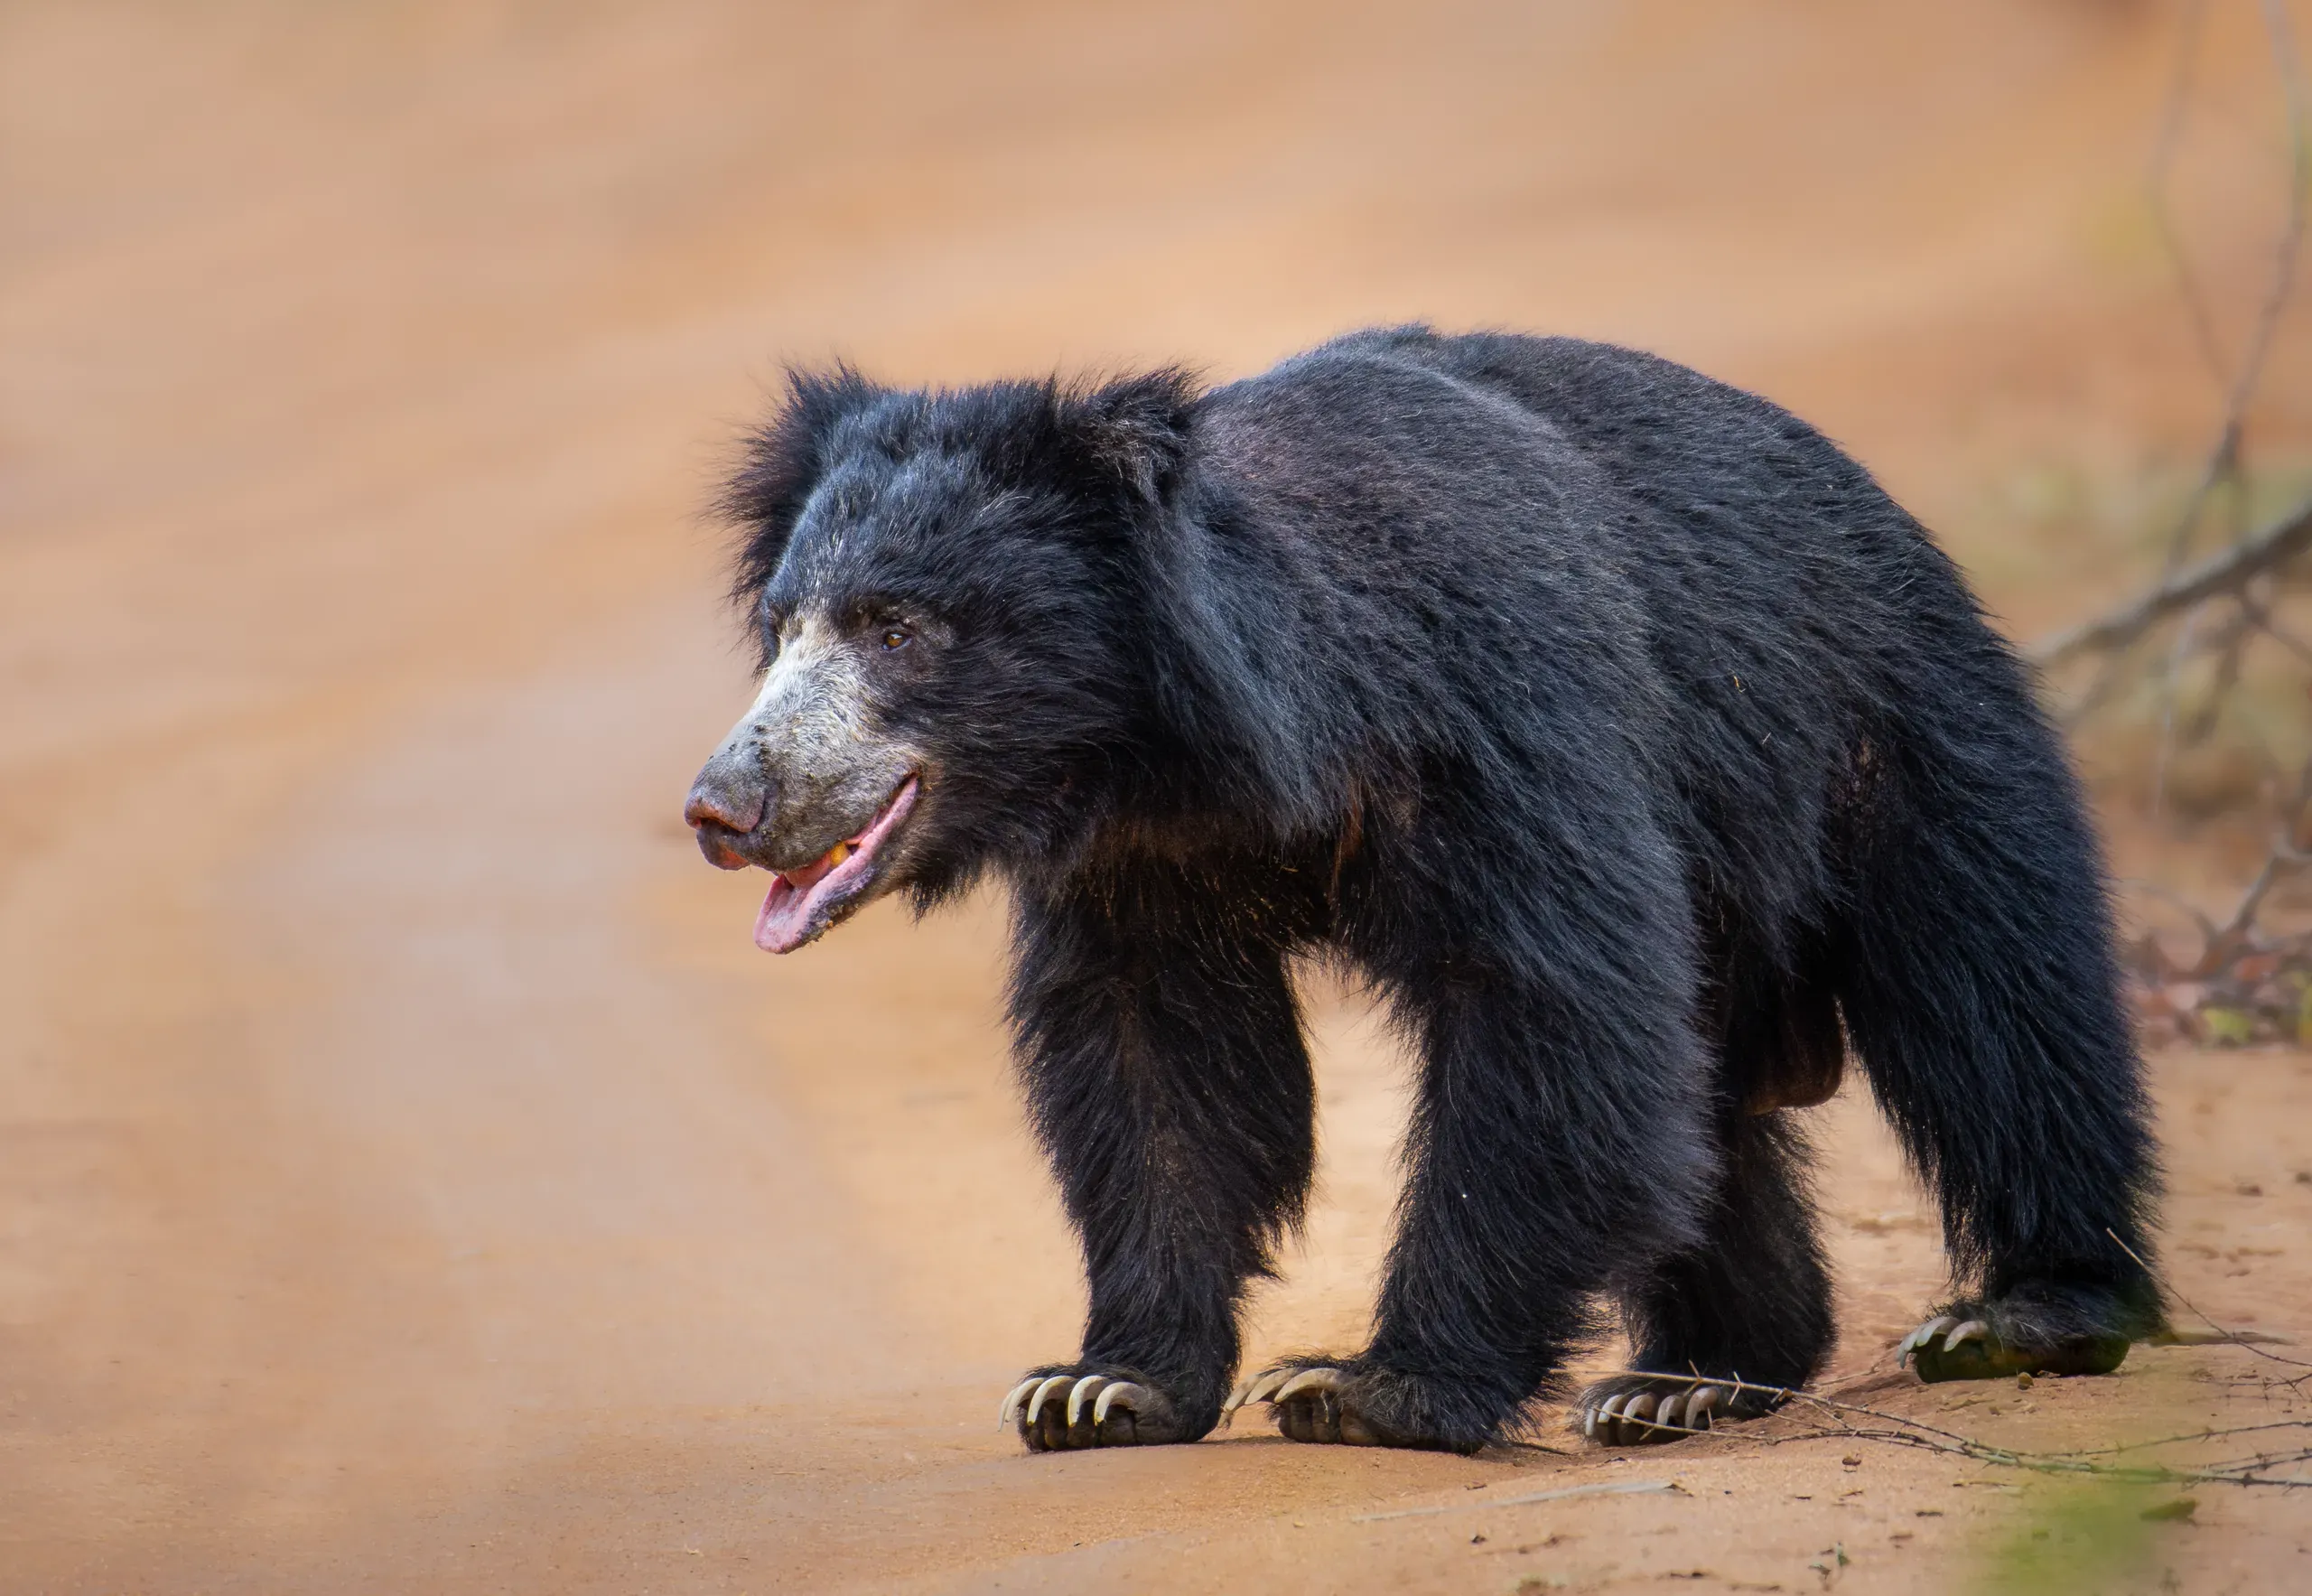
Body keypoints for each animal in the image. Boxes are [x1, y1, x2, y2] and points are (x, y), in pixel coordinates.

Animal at [683, 326, 2164, 1455]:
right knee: (1708, 1110)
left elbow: (1547, 1006)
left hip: (1889, 731)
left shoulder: (1502, 716)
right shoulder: (1136, 860)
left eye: (897, 628)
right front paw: (1101, 1384)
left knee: (1993, 994)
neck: (1194, 742)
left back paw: (2024, 1313)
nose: (723, 805)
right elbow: (1153, 1057)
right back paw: (1687, 1379)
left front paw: (1366, 1386)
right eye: (782, 626)